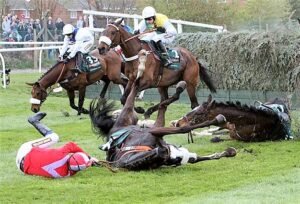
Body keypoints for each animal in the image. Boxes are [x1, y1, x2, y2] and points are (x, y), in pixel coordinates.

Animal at [89, 79, 237, 171]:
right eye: (167, 157)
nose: (169, 151)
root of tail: (115, 128)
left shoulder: (155, 131)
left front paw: (228, 151)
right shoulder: (156, 133)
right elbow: (184, 129)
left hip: (143, 120)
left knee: (155, 101)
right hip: (133, 116)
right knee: (144, 99)